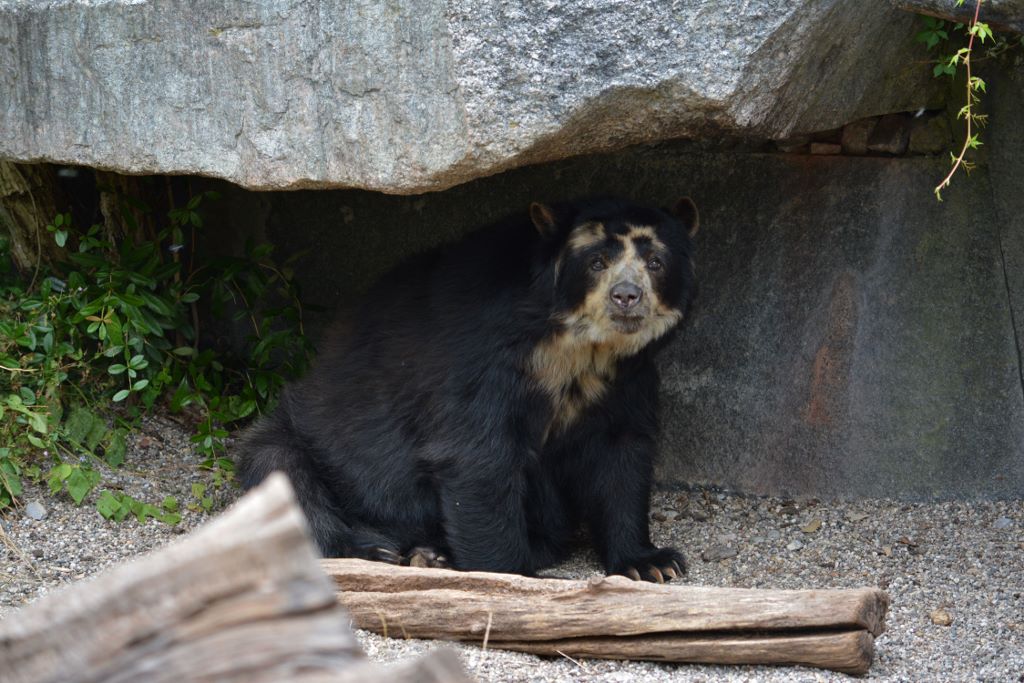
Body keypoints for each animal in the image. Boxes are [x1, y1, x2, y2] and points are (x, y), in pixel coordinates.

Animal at [237, 196, 699, 582]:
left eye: (655, 262)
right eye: (597, 262)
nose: (627, 296)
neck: (578, 348)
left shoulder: (626, 378)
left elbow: (623, 453)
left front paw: (651, 562)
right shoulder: (482, 361)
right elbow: (478, 457)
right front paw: (510, 574)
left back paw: (433, 551)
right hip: (305, 440)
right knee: (286, 477)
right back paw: (379, 549)